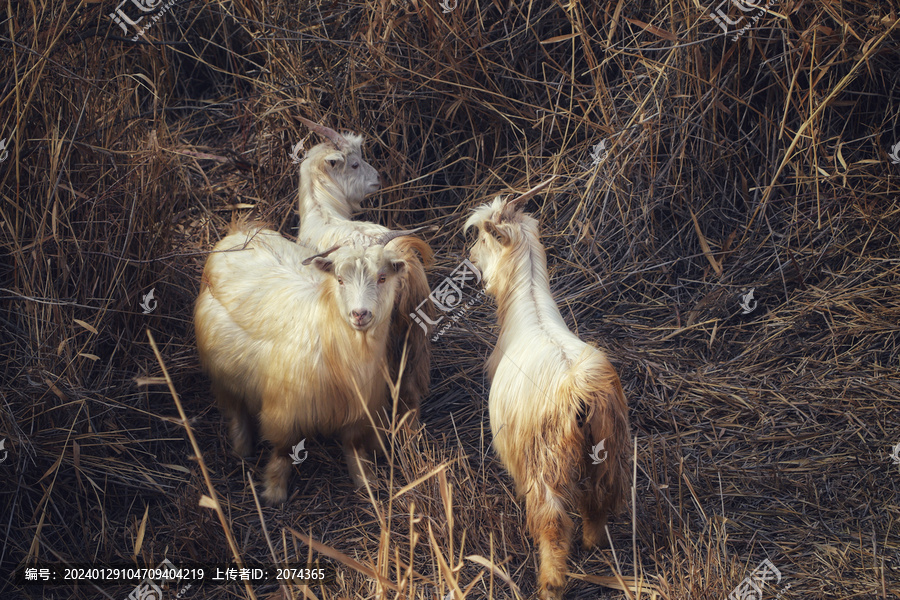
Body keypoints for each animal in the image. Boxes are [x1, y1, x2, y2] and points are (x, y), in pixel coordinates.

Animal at [468, 185, 628, 596]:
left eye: (483, 239)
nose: (470, 259)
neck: (529, 304)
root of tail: (582, 394)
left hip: (546, 463)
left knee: (553, 525)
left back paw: (550, 585)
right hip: (607, 452)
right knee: (599, 500)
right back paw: (593, 543)